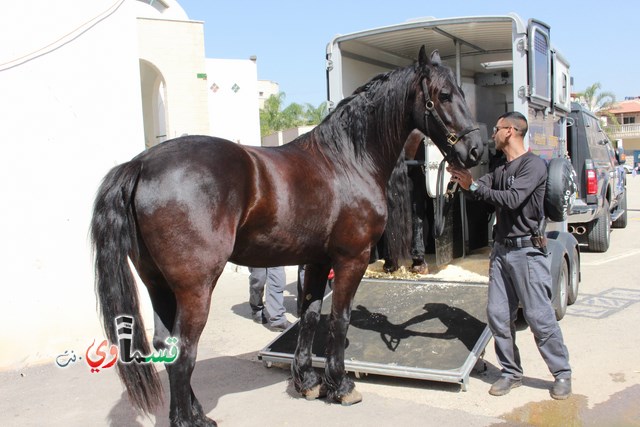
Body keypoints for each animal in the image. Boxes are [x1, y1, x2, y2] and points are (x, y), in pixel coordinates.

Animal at [89, 47, 480, 427]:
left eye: (462, 92)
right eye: (444, 95)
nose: (475, 150)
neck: (347, 160)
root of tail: (141, 164)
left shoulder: (318, 261)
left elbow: (310, 316)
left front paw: (307, 381)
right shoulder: (351, 258)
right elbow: (339, 319)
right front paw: (341, 386)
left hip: (157, 283)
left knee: (167, 346)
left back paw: (197, 412)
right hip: (195, 287)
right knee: (184, 351)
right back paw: (188, 420)